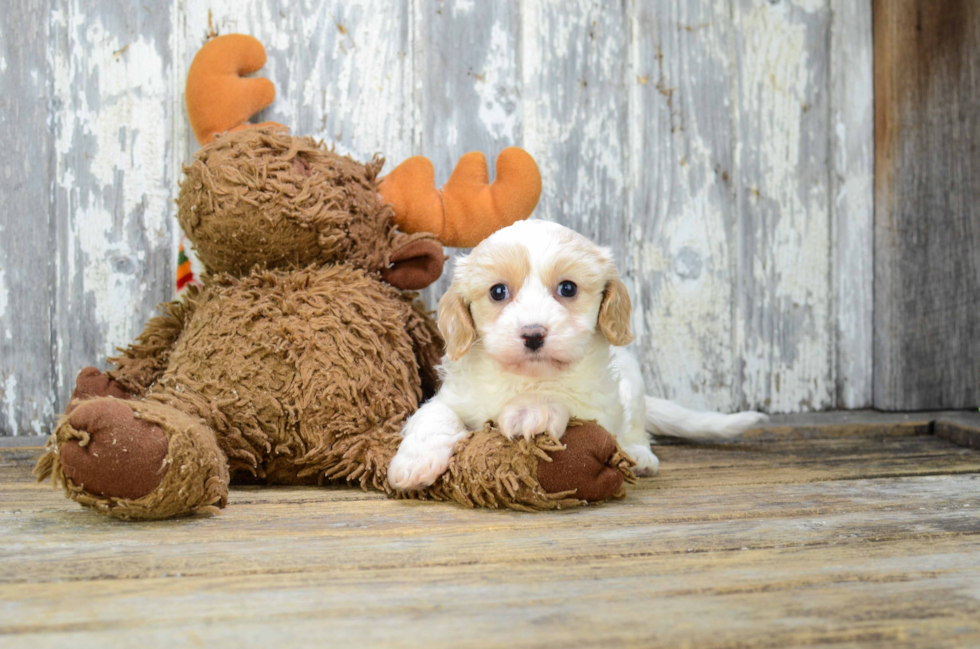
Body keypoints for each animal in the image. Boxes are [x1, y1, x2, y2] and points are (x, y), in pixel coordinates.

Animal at [386, 220, 768, 488]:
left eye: (567, 288)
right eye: (498, 292)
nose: (533, 334)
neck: (525, 377)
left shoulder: (598, 405)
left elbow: (563, 399)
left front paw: (532, 410)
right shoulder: (456, 396)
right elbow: (435, 415)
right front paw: (414, 462)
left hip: (633, 386)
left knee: (635, 428)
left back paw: (640, 455)